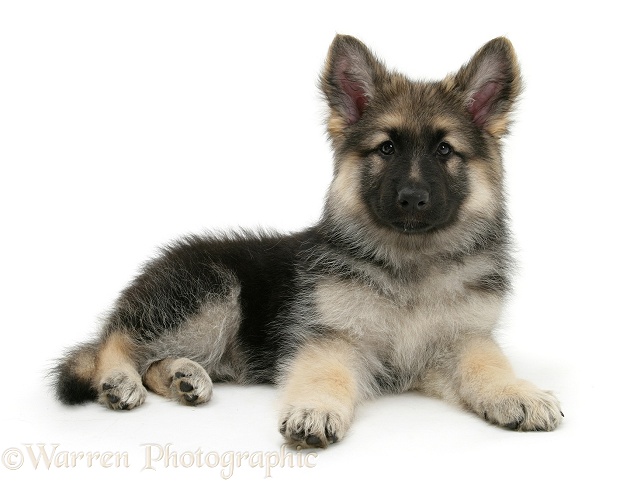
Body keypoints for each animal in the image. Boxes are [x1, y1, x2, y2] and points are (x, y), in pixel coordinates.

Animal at [53, 34, 560, 448]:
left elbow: (488, 365)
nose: (412, 199)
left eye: (444, 150)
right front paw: (316, 410)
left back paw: (182, 376)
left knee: (146, 357)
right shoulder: (332, 339)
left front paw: (517, 392)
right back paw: (119, 378)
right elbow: (326, 376)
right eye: (386, 148)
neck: (409, 263)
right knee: (113, 343)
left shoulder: (462, 341)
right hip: (210, 293)